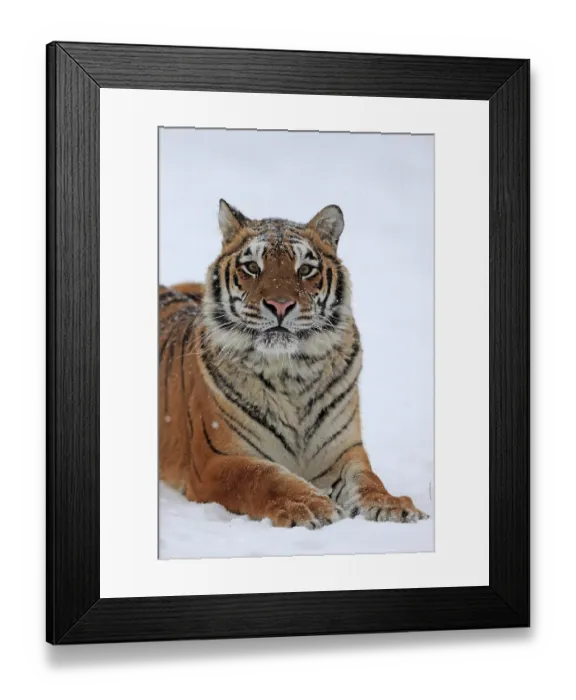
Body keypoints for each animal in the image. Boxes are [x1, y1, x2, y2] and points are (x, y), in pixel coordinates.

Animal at [159, 199, 429, 529]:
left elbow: (368, 480)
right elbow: (264, 476)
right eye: (252, 267)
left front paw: (393, 507)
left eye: (305, 269)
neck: (292, 373)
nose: (280, 305)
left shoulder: (343, 452)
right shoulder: (216, 460)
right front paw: (312, 506)